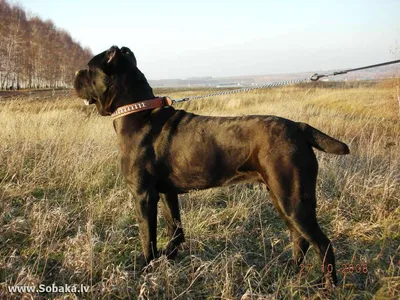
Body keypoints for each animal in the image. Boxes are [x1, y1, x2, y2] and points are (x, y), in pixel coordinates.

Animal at [73, 45, 348, 288]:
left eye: (88, 68)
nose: (75, 74)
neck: (137, 112)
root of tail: (300, 128)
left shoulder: (143, 195)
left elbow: (147, 237)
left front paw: (146, 267)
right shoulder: (167, 192)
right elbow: (175, 228)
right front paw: (168, 257)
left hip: (292, 198)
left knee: (323, 243)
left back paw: (327, 286)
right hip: (281, 196)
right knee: (299, 238)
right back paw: (290, 271)